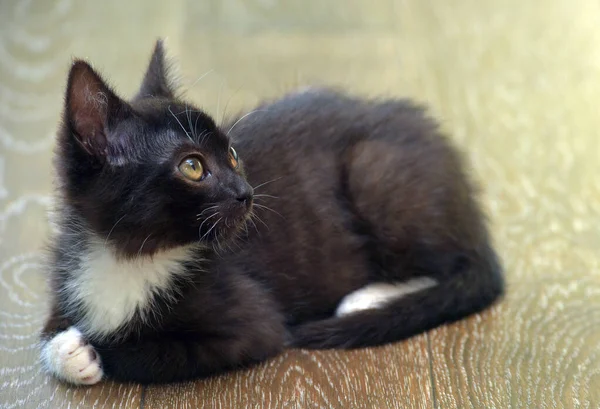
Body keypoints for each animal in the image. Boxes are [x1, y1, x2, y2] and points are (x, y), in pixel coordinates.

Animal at [39, 39, 504, 384]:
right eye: (192, 166)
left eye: (231, 154)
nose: (245, 192)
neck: (130, 255)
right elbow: (47, 334)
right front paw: (65, 348)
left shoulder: (248, 326)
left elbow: (151, 352)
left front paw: (92, 349)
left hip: (375, 173)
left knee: (453, 267)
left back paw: (366, 299)